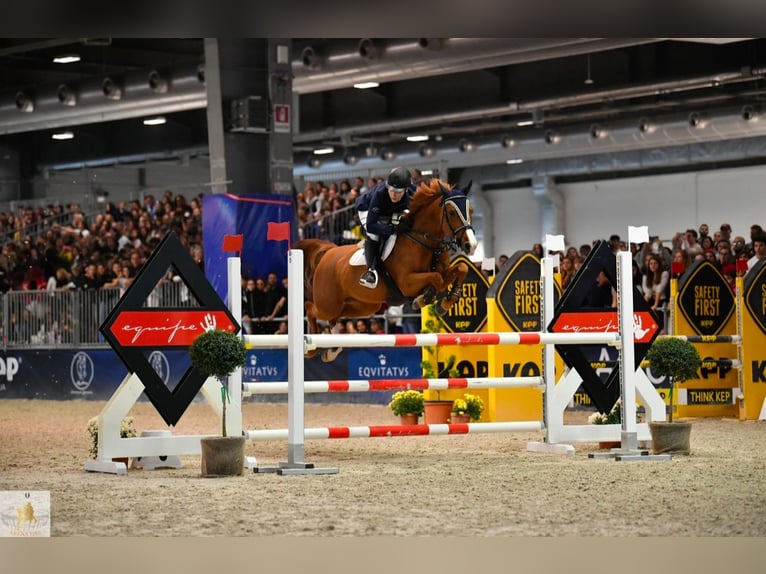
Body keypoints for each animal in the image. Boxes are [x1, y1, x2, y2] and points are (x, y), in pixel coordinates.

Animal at [296, 178, 476, 362]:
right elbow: (437, 278)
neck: (423, 241)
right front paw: (424, 299)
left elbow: (460, 268)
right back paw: (311, 349)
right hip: (328, 303)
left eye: (471, 211)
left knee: (334, 317)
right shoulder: (407, 283)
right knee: (311, 309)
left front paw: (446, 302)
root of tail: (327, 252)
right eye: (452, 213)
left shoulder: (441, 271)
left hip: (362, 306)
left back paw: (332, 349)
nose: (471, 245)